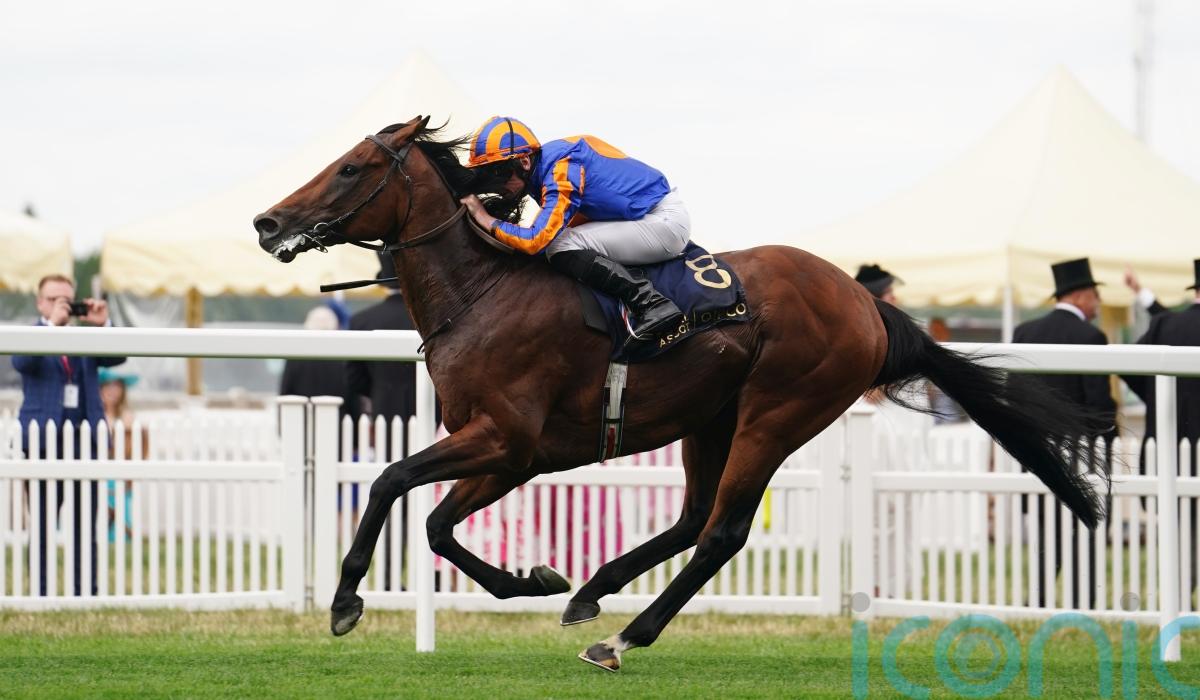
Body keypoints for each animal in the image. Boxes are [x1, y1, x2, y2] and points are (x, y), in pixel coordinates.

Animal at [253, 115, 1107, 671]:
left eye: (351, 169)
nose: (267, 221)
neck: (483, 289)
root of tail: (868, 305)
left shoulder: (504, 437)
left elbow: (392, 482)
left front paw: (345, 603)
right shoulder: (511, 452)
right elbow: (433, 523)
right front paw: (534, 579)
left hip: (778, 412)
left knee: (722, 532)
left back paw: (622, 637)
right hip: (710, 418)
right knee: (694, 518)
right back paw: (592, 592)